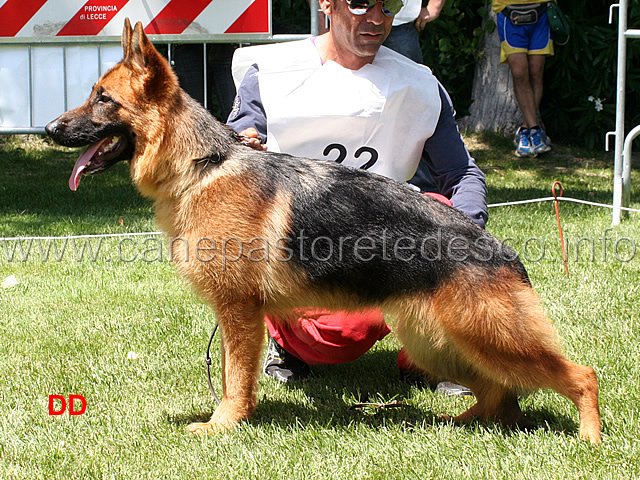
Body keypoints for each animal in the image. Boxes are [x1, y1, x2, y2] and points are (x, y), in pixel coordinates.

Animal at [47, 20, 604, 444]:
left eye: (103, 99)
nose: (49, 129)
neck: (202, 166)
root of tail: (499, 248)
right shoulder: (234, 314)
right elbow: (231, 374)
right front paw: (230, 418)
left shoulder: (238, 311)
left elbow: (235, 379)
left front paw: (223, 425)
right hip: (442, 341)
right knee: (495, 391)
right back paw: (460, 423)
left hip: (487, 336)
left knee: (579, 375)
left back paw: (589, 439)